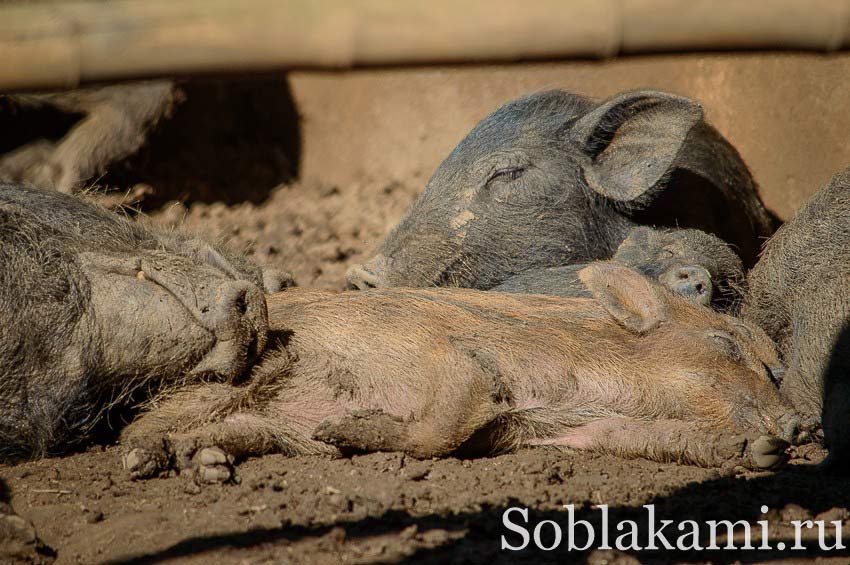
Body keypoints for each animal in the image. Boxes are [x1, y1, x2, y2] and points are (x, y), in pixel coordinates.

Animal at [121, 262, 796, 480]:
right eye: (725, 344)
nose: (799, 426)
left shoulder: (571, 428)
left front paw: (759, 453)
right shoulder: (444, 357)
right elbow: (444, 427)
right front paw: (343, 432)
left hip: (262, 427)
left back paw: (205, 463)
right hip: (228, 378)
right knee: (139, 426)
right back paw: (146, 461)